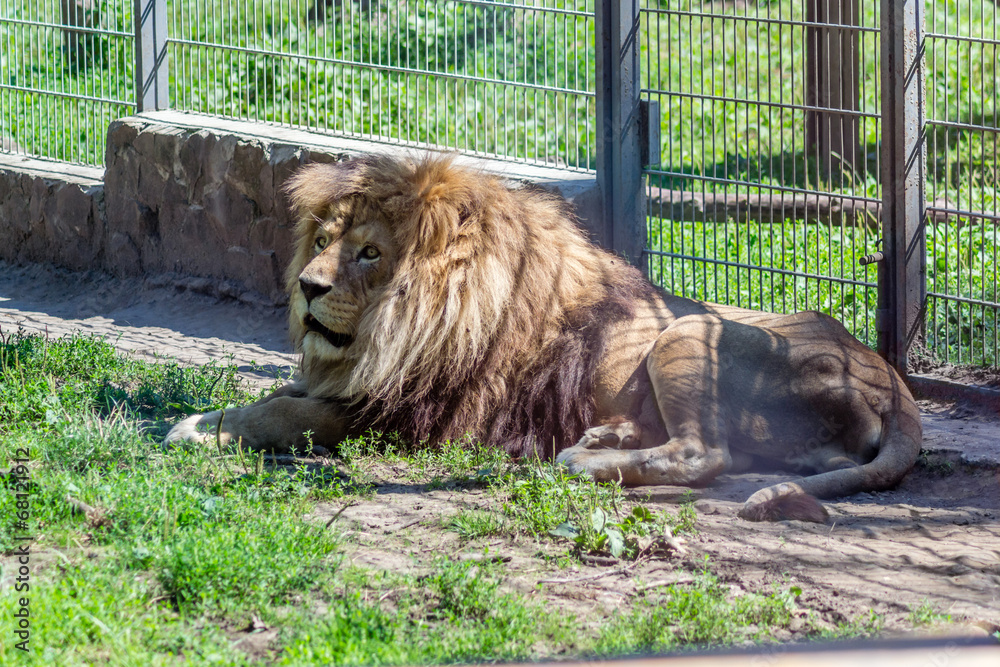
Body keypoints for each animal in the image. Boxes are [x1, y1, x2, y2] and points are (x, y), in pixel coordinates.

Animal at [165, 153, 922, 522]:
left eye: (369, 253)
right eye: (322, 241)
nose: (307, 287)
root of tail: (897, 386)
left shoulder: (400, 415)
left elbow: (284, 413)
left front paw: (193, 432)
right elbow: (267, 397)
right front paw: (204, 419)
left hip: (687, 331)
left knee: (703, 455)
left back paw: (582, 460)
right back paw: (607, 437)